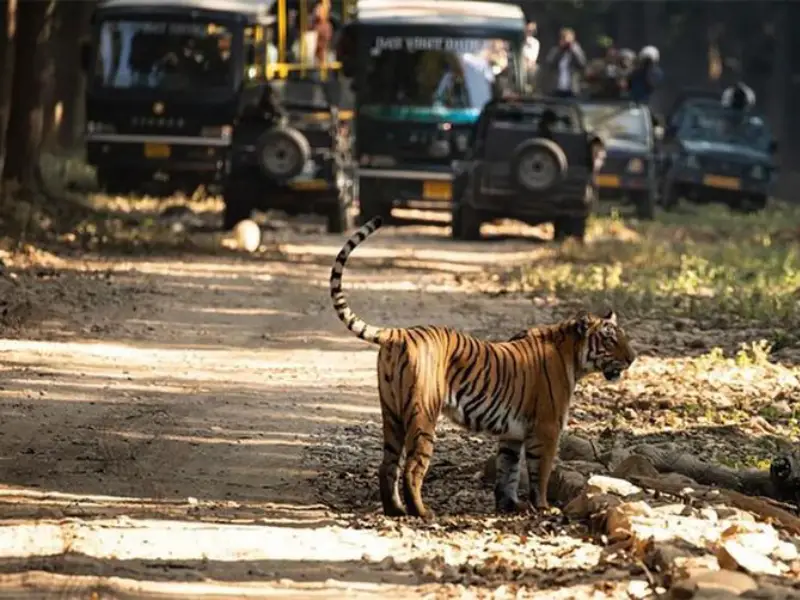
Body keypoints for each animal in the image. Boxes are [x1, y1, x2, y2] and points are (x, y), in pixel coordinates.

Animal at [328, 217, 636, 520]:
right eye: (610, 339)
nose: (633, 358)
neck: (573, 356)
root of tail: (399, 333)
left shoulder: (512, 435)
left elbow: (508, 471)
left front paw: (510, 505)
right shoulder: (547, 429)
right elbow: (541, 472)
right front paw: (543, 507)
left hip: (391, 413)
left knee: (387, 465)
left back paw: (396, 510)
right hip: (423, 413)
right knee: (413, 467)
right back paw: (422, 513)